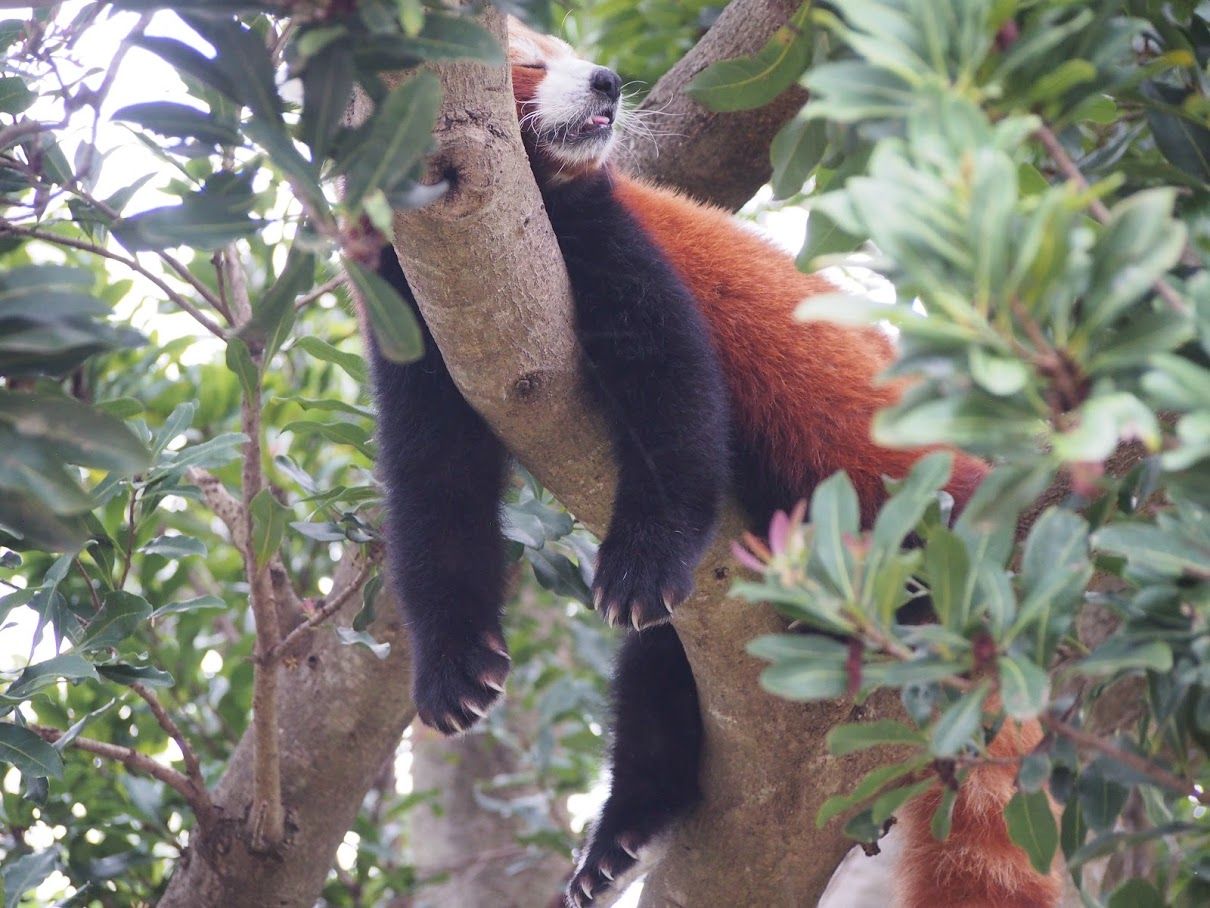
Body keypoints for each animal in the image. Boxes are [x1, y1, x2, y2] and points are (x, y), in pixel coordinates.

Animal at [365, 14, 1059, 908]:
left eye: (564, 54)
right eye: (530, 64)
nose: (606, 80)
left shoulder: (602, 241)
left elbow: (676, 394)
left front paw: (642, 561)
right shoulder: (414, 318)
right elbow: (435, 491)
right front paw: (454, 670)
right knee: (658, 679)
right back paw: (621, 833)